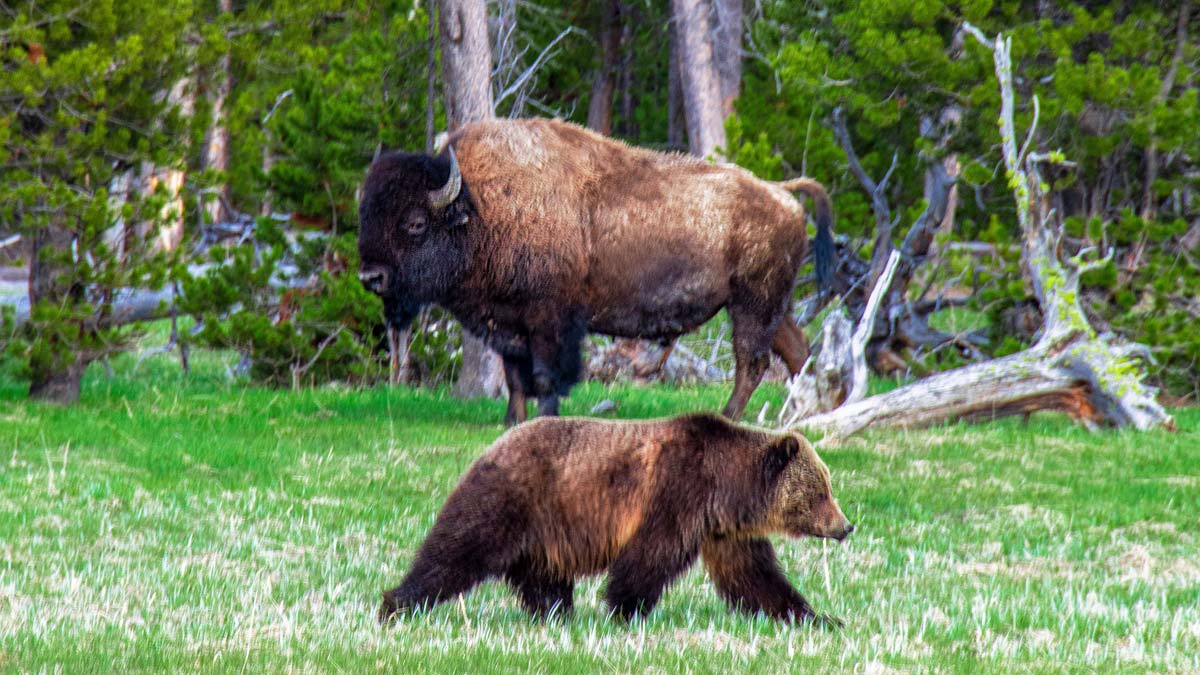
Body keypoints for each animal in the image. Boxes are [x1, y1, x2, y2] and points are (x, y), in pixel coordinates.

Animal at [357, 115, 835, 420]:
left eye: (415, 223)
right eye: (365, 214)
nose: (370, 277)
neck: (481, 207)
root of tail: (781, 191)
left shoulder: (548, 318)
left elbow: (545, 375)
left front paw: (544, 419)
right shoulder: (506, 321)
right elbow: (514, 377)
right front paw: (512, 421)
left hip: (751, 304)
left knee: (751, 360)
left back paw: (731, 416)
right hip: (772, 305)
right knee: (795, 351)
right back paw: (806, 414)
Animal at [374, 413, 854, 624]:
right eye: (822, 492)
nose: (846, 526)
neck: (727, 485)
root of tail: (493, 445)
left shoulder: (725, 530)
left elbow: (755, 576)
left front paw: (816, 617)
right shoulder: (678, 492)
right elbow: (649, 556)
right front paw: (625, 609)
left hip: (546, 528)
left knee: (542, 576)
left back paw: (554, 614)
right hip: (514, 496)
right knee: (456, 550)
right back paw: (396, 603)